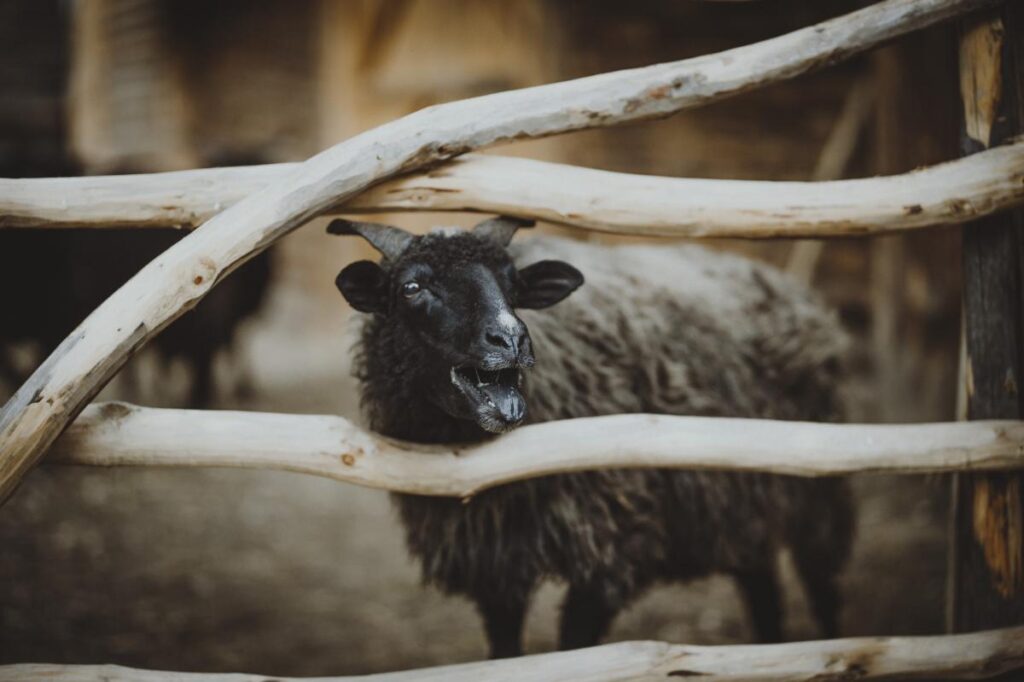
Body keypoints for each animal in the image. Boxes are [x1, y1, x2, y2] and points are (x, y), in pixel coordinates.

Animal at [329, 215, 854, 659]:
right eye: (412, 287)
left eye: (513, 284)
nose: (510, 339)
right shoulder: (495, 567)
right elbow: (505, 651)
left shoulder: (610, 550)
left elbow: (574, 649)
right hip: (742, 503)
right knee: (763, 589)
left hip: (819, 493)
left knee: (823, 592)